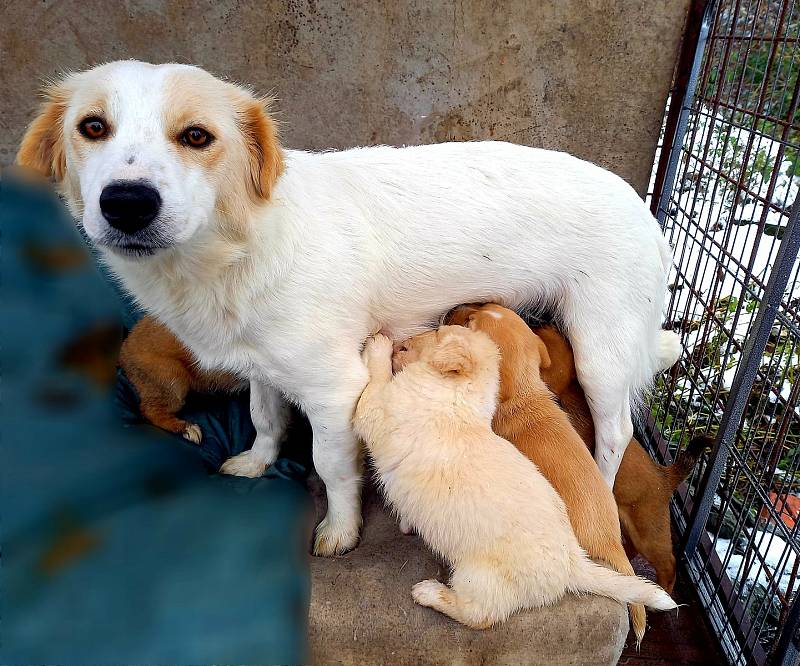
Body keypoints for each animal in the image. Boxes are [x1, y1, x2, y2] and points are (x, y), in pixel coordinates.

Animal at [18, 61, 680, 556]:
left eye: (197, 136)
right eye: (92, 126)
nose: (126, 203)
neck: (238, 251)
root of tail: (645, 208)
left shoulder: (335, 389)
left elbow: (331, 466)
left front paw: (341, 530)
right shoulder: (263, 369)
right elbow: (265, 421)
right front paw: (256, 463)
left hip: (601, 351)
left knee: (615, 432)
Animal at [354, 326, 672, 628]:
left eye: (438, 332)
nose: (402, 340)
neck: (458, 400)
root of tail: (573, 565)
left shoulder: (375, 411)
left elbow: (376, 382)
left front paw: (378, 346)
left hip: (477, 579)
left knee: (478, 616)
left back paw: (429, 592)